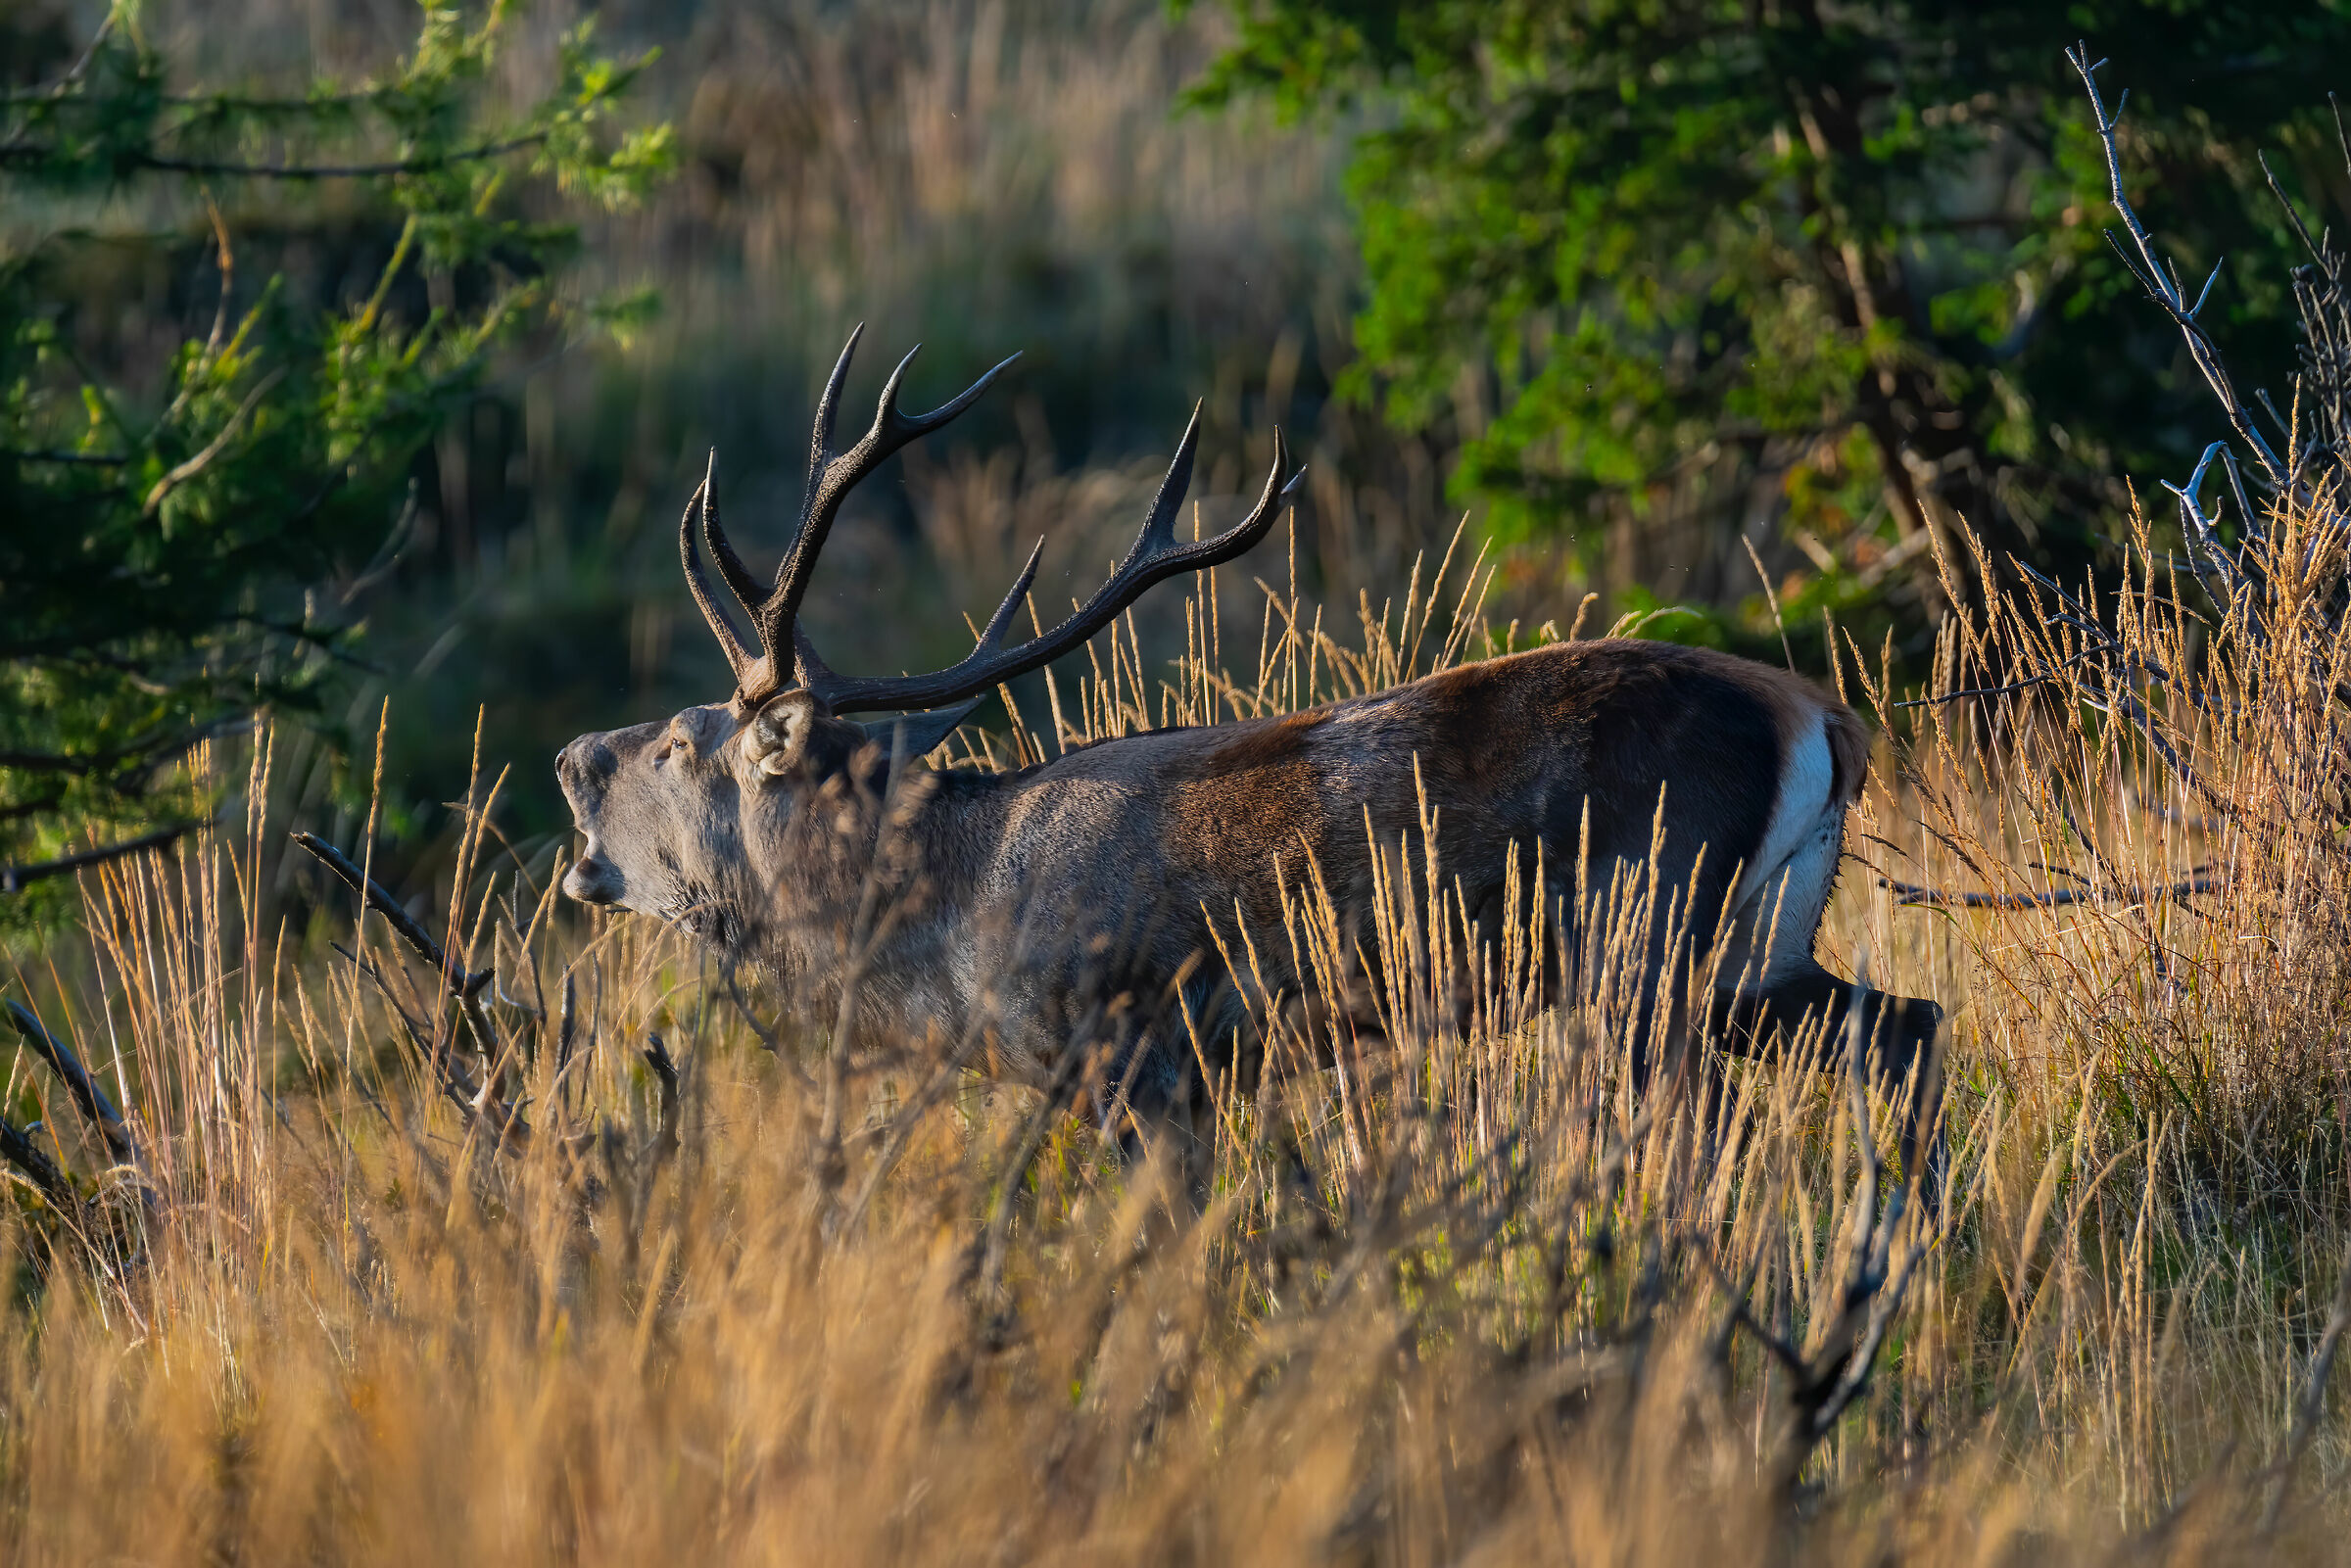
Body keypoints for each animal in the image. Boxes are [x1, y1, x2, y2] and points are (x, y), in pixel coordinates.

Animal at [556, 328, 1945, 1192]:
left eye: (678, 741)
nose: (572, 753)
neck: (953, 926)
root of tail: (1823, 720)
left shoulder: (1136, 1056)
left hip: (1641, 938)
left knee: (1707, 1117)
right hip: (1759, 951)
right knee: (1909, 1025)